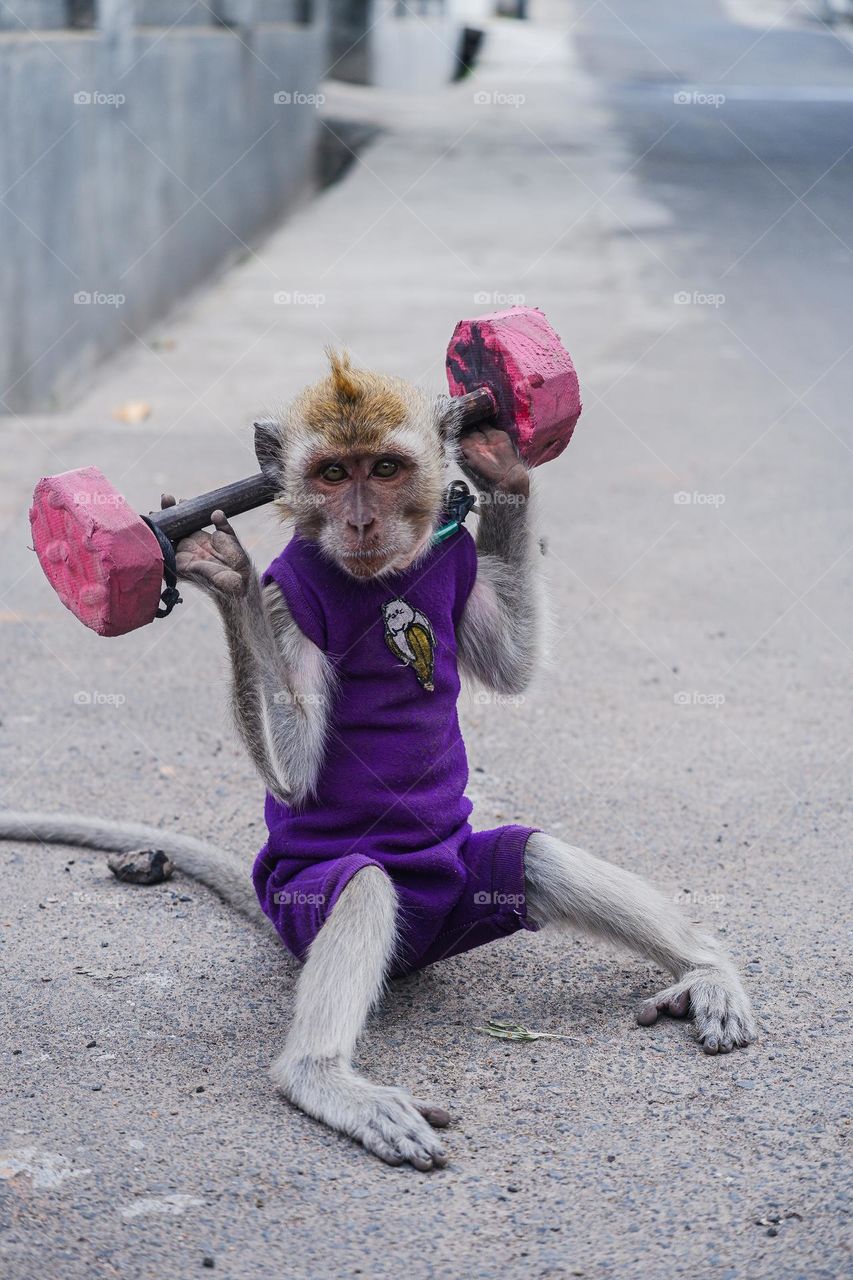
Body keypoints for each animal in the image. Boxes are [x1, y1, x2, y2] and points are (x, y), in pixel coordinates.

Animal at [1, 351, 757, 1171]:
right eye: (333, 473)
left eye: (386, 468)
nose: (361, 520)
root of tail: (417, 952)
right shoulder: (286, 602)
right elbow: (296, 778)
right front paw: (224, 576)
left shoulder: (452, 563)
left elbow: (510, 667)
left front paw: (500, 459)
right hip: (298, 910)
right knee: (363, 887)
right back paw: (321, 1078)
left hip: (468, 884)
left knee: (532, 857)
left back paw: (704, 971)